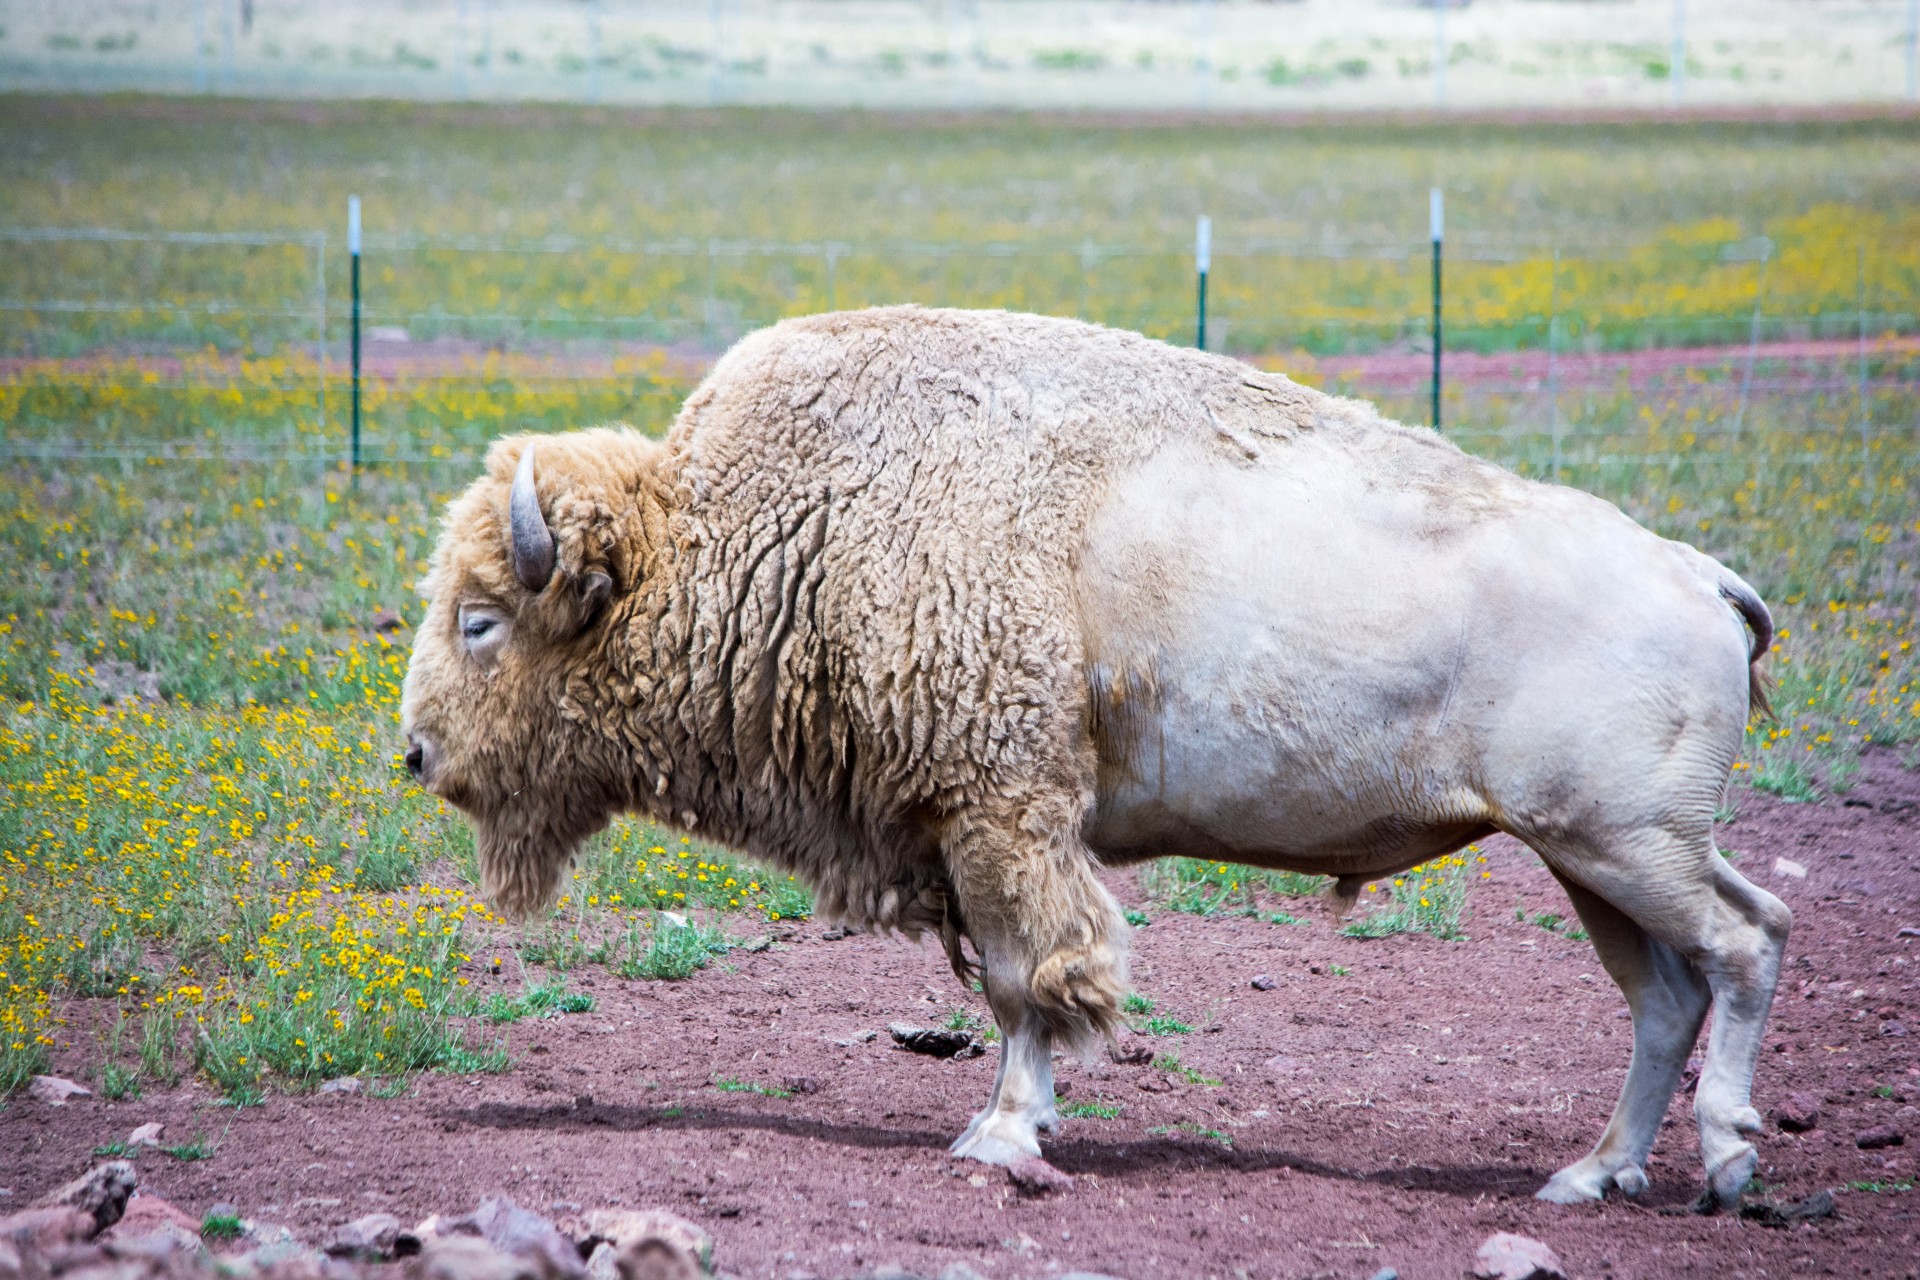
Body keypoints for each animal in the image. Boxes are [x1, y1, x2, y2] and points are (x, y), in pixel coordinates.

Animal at [401, 307, 1781, 1212]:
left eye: (480, 617)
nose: (416, 750)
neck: (756, 527)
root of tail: (1702, 575)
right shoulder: (972, 830)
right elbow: (1015, 985)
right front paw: (1016, 1121)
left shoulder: (1004, 817)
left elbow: (1029, 983)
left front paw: (1004, 1135)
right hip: (1589, 860)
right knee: (1670, 988)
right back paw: (1588, 1174)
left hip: (1620, 844)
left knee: (1742, 944)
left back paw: (1726, 1161)